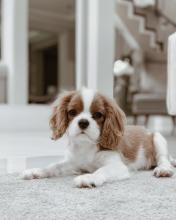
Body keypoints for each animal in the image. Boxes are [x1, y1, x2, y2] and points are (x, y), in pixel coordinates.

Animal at [22, 87, 176, 187]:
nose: (83, 122)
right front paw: (37, 171)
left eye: (98, 115)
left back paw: (164, 169)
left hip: (158, 138)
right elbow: (54, 166)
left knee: (163, 159)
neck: (86, 145)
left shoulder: (117, 166)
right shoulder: (73, 163)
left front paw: (89, 178)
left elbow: (102, 170)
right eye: (72, 112)